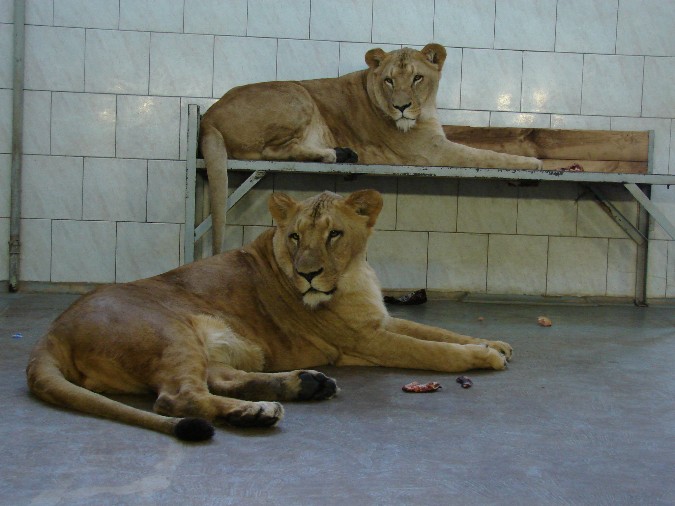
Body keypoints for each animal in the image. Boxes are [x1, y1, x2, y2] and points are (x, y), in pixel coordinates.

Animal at [26, 189, 512, 441]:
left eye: (334, 234)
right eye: (295, 237)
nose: (308, 275)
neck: (353, 273)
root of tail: (51, 332)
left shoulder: (381, 322)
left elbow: (437, 330)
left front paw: (495, 342)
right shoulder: (366, 340)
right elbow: (431, 350)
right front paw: (484, 357)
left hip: (215, 347)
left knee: (218, 379)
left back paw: (300, 388)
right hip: (172, 331)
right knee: (178, 398)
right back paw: (262, 410)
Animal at [200, 43, 543, 254]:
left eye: (417, 78)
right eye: (389, 80)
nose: (402, 107)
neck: (425, 110)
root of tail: (208, 116)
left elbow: (486, 144)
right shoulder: (433, 152)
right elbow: (490, 156)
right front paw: (537, 163)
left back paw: (344, 153)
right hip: (297, 93)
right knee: (272, 152)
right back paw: (336, 154)